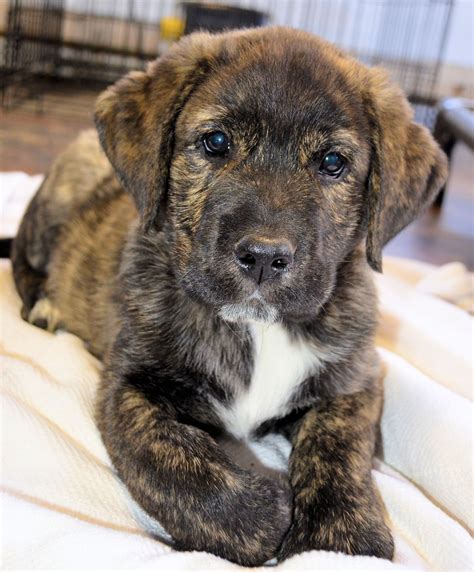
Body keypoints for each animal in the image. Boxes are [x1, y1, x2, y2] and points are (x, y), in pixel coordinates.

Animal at [12, 27, 448, 568]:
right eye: (215, 142)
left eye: (333, 163)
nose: (264, 256)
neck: (255, 330)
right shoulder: (127, 387)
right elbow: (169, 462)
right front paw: (262, 515)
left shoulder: (355, 379)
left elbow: (339, 446)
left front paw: (341, 539)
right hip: (56, 204)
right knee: (23, 259)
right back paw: (44, 303)